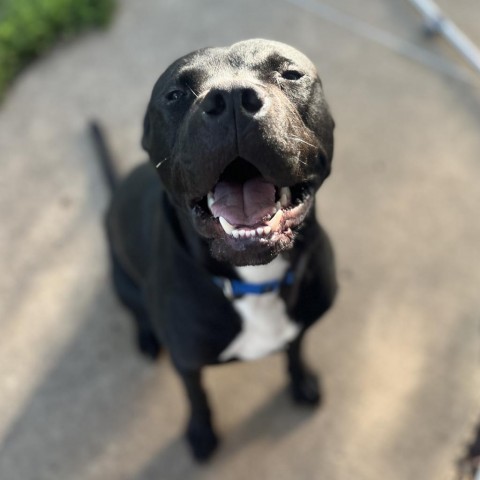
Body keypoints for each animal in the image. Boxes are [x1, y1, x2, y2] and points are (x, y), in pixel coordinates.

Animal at [105, 38, 338, 462]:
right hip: (121, 280)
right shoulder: (187, 362)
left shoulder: (299, 326)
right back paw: (146, 335)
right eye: (174, 95)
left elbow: (296, 351)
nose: (231, 99)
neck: (255, 283)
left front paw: (302, 383)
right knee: (137, 310)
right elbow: (197, 398)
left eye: (290, 73)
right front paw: (201, 433)